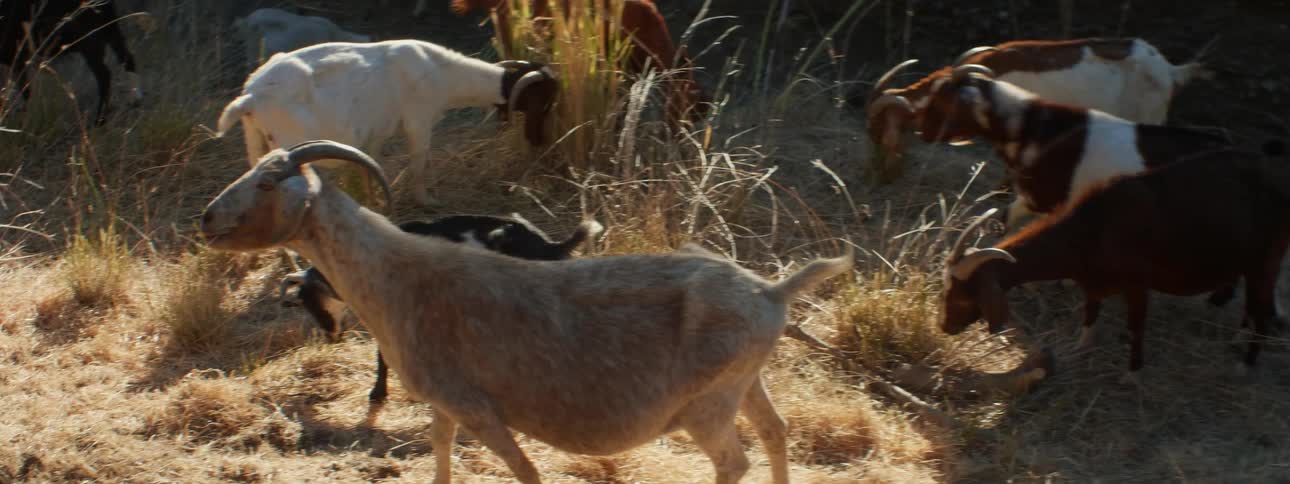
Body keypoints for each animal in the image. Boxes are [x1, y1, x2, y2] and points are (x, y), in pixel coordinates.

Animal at [1, 0, 142, 125]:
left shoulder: (16, 56)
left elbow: (25, 91)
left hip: (90, 36)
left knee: (104, 74)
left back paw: (100, 120)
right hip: (107, 27)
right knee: (127, 58)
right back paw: (135, 100)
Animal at [215, 40, 558, 205]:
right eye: (544, 101)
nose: (539, 141)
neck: (444, 71)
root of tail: (251, 96)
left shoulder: (378, 133)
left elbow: (372, 164)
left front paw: (376, 201)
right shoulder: (419, 121)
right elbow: (419, 161)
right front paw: (426, 200)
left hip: (255, 140)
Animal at [940, 140, 1290, 380]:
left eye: (963, 296)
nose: (946, 327)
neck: (1093, 228)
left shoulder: (1137, 287)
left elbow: (1135, 328)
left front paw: (1132, 373)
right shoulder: (1092, 284)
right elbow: (1090, 315)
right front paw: (1080, 349)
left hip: (1267, 261)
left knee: (1263, 311)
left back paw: (1245, 363)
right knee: (1253, 304)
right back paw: (1239, 336)